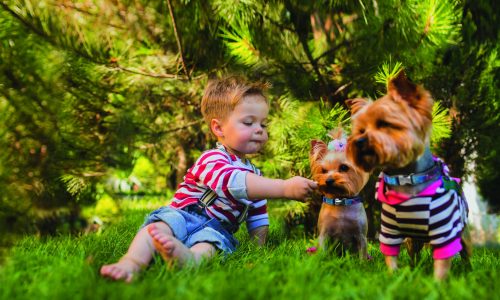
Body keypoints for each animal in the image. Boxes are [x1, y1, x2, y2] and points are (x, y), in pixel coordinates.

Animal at [310, 127, 370, 256]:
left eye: (343, 167)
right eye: (323, 170)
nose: (328, 180)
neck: (340, 200)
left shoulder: (361, 235)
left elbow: (362, 254)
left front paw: (363, 261)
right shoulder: (324, 233)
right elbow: (322, 251)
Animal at [346, 71, 470, 282]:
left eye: (384, 124)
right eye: (361, 130)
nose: (360, 141)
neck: (405, 178)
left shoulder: (444, 232)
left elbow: (442, 263)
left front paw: (438, 284)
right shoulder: (389, 231)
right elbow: (391, 257)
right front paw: (394, 277)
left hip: (462, 234)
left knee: (465, 253)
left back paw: (469, 271)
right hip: (412, 240)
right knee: (414, 254)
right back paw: (414, 269)